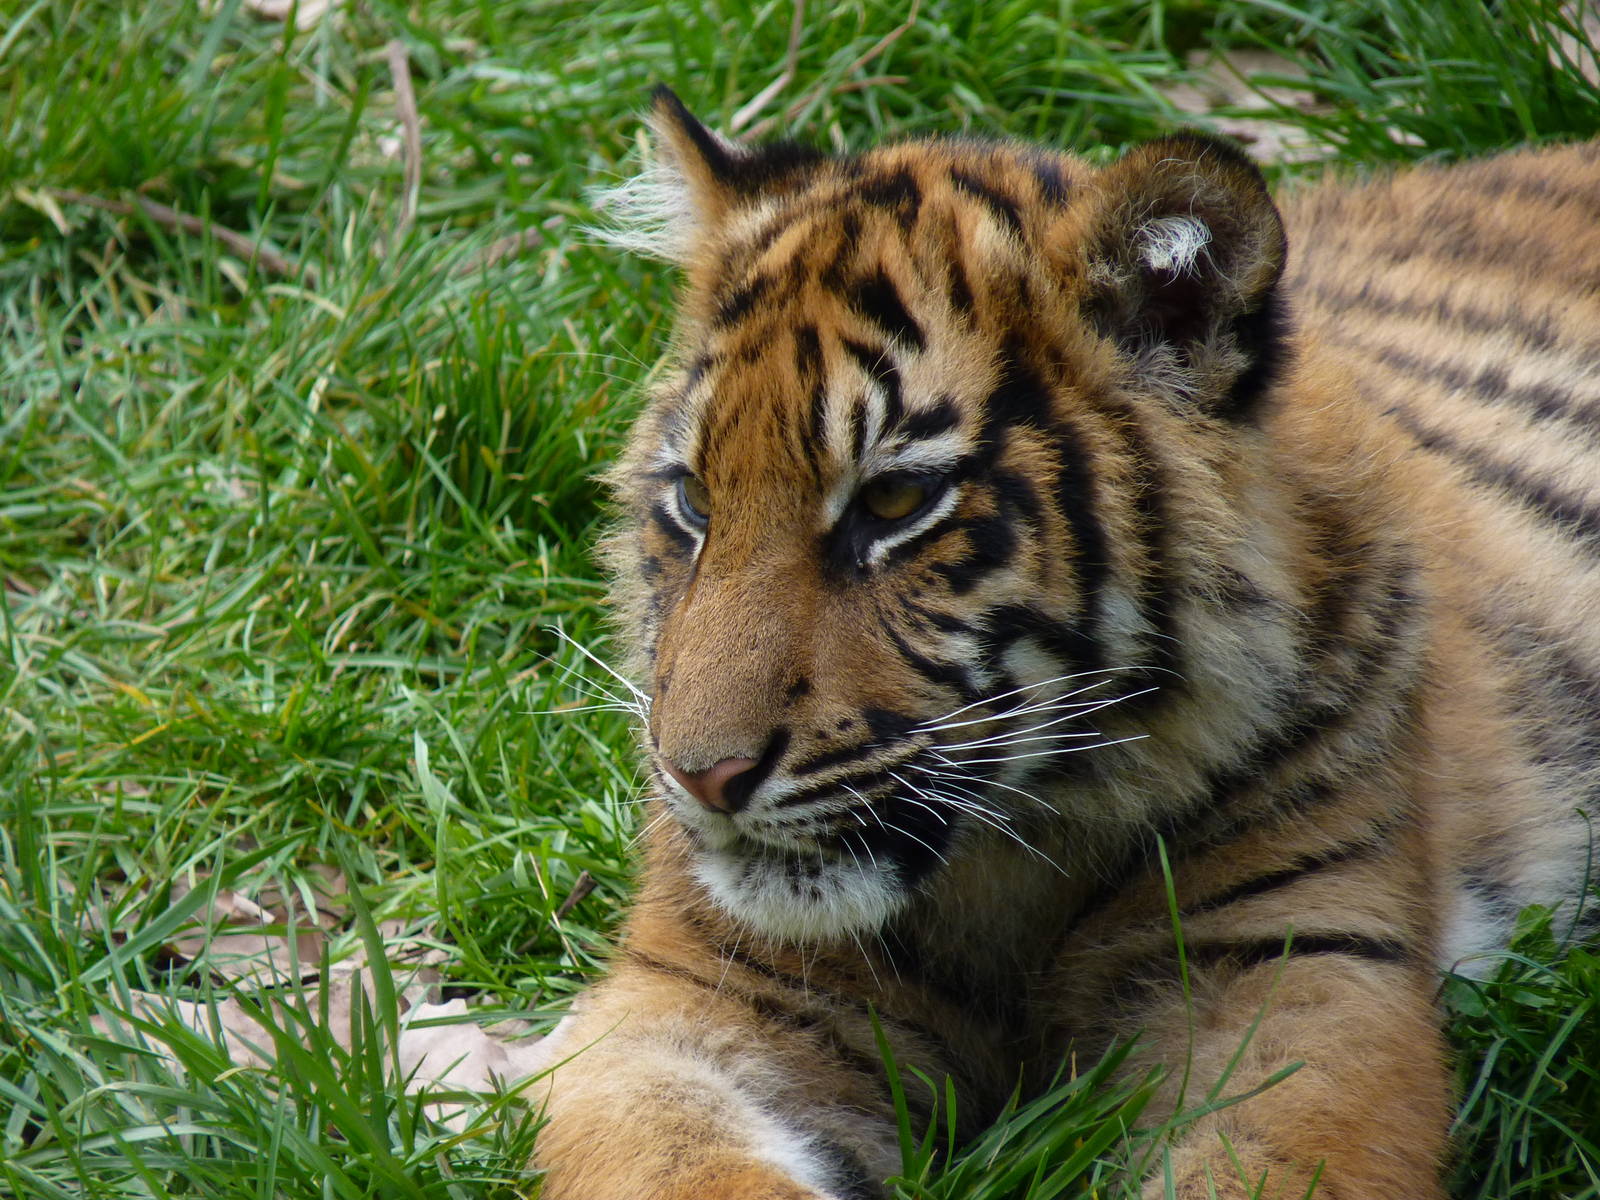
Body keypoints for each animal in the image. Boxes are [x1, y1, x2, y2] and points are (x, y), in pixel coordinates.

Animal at [528, 87, 1600, 1200]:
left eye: (894, 501)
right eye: (695, 502)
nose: (701, 777)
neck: (1008, 857)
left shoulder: (1300, 972)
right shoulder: (701, 994)